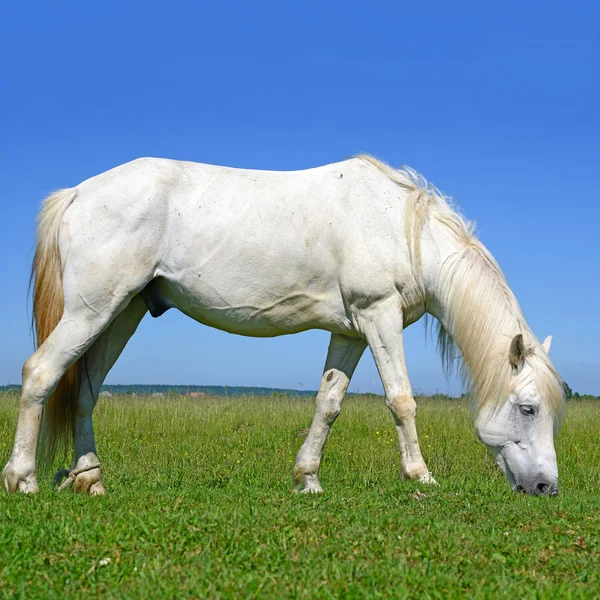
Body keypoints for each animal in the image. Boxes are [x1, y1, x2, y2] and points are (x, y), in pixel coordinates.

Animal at [1, 155, 564, 496]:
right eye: (528, 408)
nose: (547, 488)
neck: (405, 229)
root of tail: (78, 192)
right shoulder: (379, 316)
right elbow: (401, 400)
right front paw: (420, 477)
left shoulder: (351, 330)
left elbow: (329, 403)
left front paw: (307, 478)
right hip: (91, 312)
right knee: (40, 374)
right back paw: (23, 479)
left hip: (122, 314)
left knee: (85, 391)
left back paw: (90, 479)